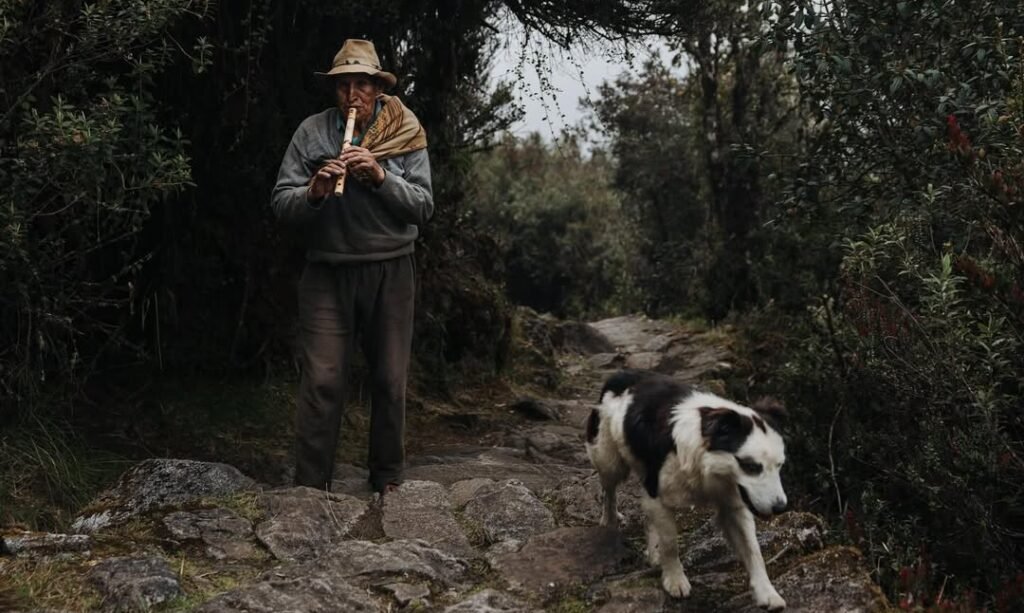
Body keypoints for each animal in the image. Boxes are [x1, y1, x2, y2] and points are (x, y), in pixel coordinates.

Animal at [585, 368, 790, 609]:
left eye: (780, 465)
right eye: (751, 466)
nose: (780, 508)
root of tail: (621, 374)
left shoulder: (733, 502)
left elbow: (753, 550)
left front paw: (767, 592)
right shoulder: (659, 494)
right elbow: (670, 543)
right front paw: (675, 580)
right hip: (608, 459)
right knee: (609, 490)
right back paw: (609, 521)